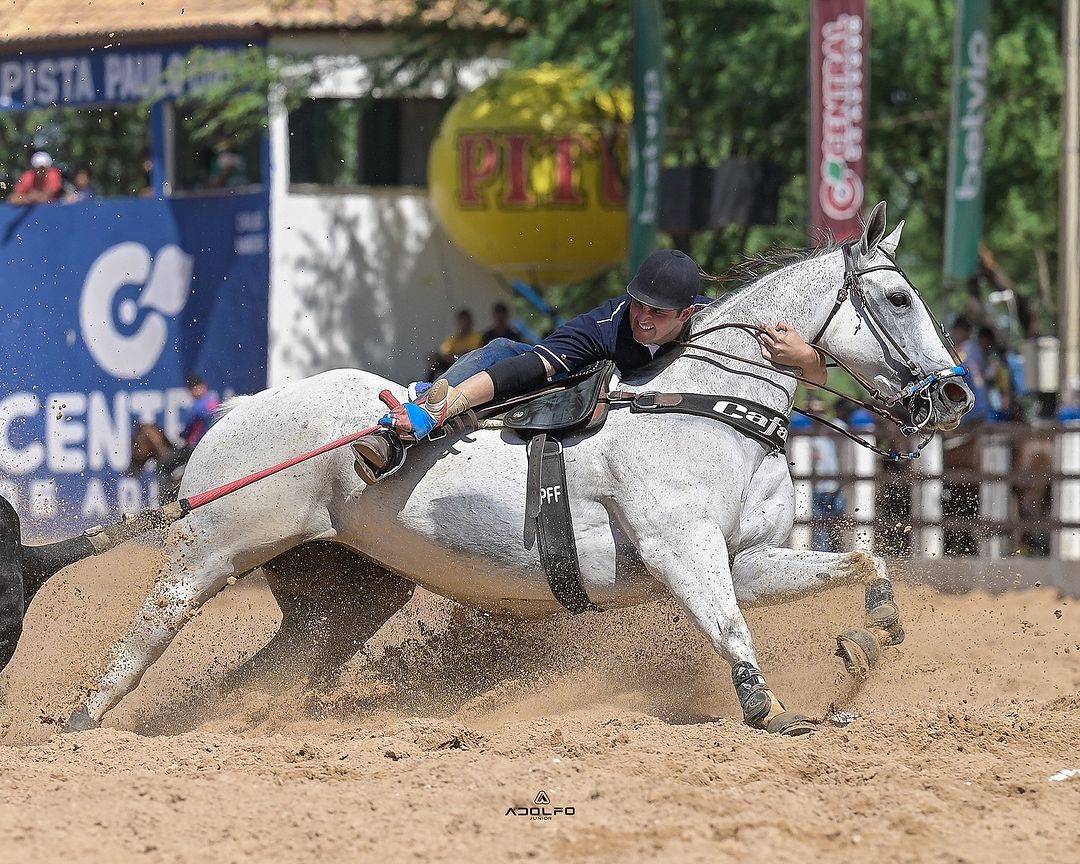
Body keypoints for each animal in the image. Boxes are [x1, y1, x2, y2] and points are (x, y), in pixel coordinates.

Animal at [65, 204, 972, 734]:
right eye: (899, 300)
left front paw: (873, 636)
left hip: (345, 592)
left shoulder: (742, 559)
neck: (707, 406)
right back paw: (84, 719)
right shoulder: (685, 553)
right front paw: (770, 709)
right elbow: (730, 630)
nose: (955, 391)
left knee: (271, 666)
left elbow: (863, 560)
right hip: (213, 548)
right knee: (151, 627)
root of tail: (235, 409)